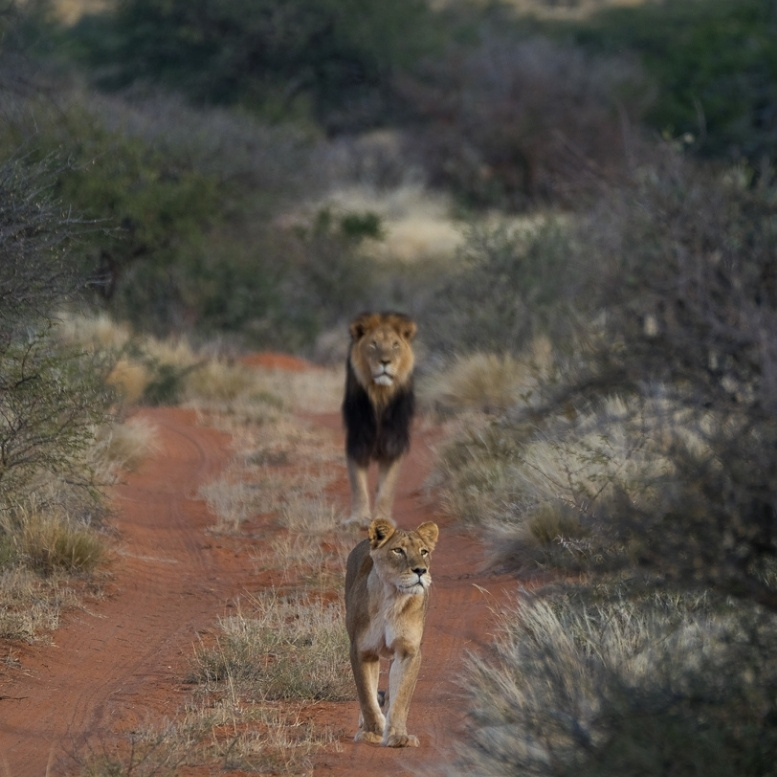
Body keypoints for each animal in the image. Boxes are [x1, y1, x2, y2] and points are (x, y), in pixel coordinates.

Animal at [341, 311, 417, 526]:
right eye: (373, 344)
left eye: (395, 345)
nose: (385, 362)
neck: (380, 395)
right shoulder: (357, 440)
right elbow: (357, 483)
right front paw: (358, 518)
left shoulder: (394, 442)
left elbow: (387, 487)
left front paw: (382, 518)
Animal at [345, 517, 439, 747]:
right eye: (398, 550)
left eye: (424, 551)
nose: (420, 571)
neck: (393, 598)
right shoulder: (362, 650)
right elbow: (366, 695)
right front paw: (372, 731)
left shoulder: (408, 652)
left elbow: (401, 697)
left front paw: (398, 736)